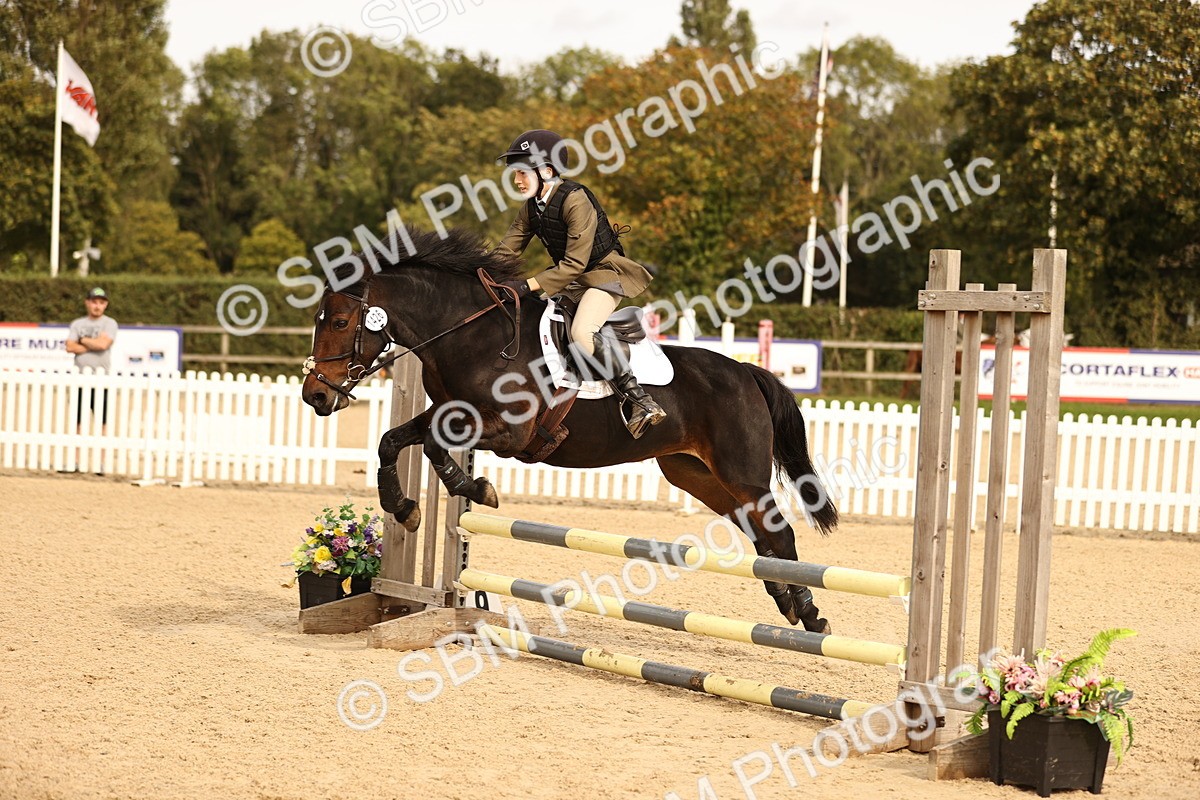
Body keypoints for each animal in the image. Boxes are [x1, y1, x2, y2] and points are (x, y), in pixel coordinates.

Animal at [301, 227, 839, 632]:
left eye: (342, 321)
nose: (315, 397)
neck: (472, 335)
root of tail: (745, 371)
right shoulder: (453, 413)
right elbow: (391, 441)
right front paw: (405, 509)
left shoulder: (507, 431)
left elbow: (433, 446)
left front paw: (476, 488)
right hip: (693, 472)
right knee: (759, 530)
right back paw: (785, 600)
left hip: (741, 471)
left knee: (780, 532)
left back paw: (810, 614)